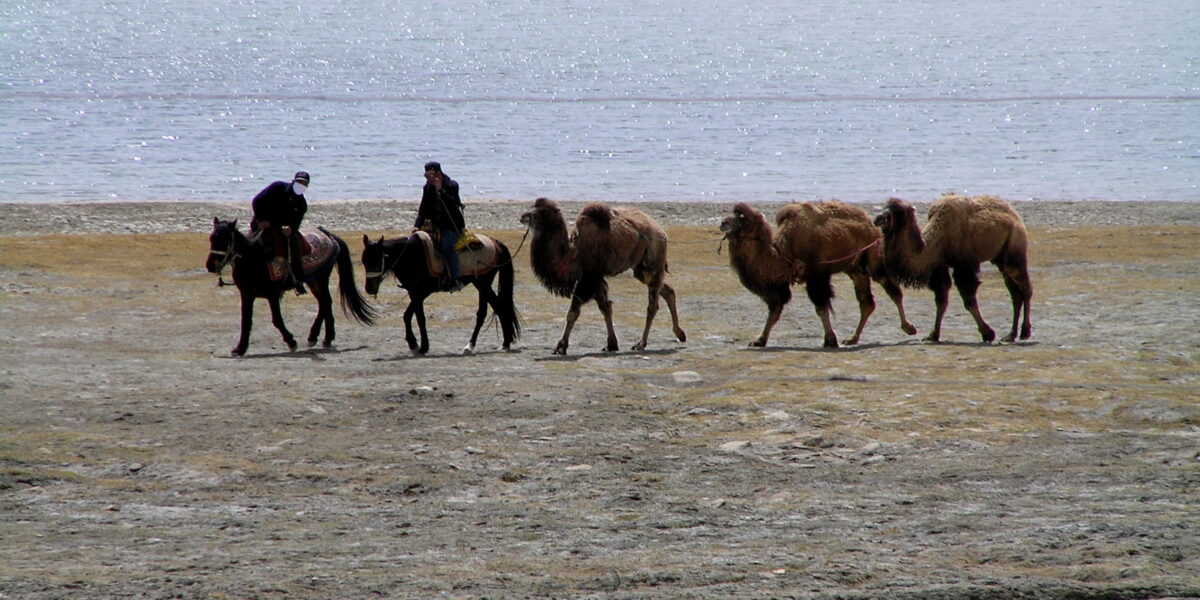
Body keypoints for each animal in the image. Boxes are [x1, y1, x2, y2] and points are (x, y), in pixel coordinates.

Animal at [519, 197, 686, 354]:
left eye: (543, 212)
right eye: (533, 206)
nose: (523, 216)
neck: (573, 252)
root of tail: (661, 231)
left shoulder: (588, 279)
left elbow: (573, 313)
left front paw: (561, 346)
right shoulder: (595, 279)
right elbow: (605, 307)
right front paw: (611, 344)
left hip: (653, 260)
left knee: (652, 305)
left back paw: (641, 344)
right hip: (639, 268)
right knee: (667, 290)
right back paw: (680, 333)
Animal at [720, 201, 917, 348]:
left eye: (742, 219)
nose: (723, 223)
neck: (783, 254)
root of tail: (870, 222)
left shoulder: (816, 276)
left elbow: (821, 308)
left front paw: (830, 340)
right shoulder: (780, 286)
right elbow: (775, 310)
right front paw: (759, 340)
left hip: (873, 258)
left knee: (892, 290)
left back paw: (909, 327)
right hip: (854, 268)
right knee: (866, 302)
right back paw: (852, 338)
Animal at [873, 194, 1033, 343]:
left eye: (900, 214)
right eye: (885, 208)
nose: (878, 218)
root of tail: (1015, 215)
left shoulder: (964, 265)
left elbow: (968, 300)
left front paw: (987, 333)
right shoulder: (939, 266)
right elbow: (941, 300)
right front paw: (933, 335)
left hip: (1014, 246)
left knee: (1025, 288)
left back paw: (1025, 332)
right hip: (1000, 259)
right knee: (1014, 293)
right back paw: (1010, 335)